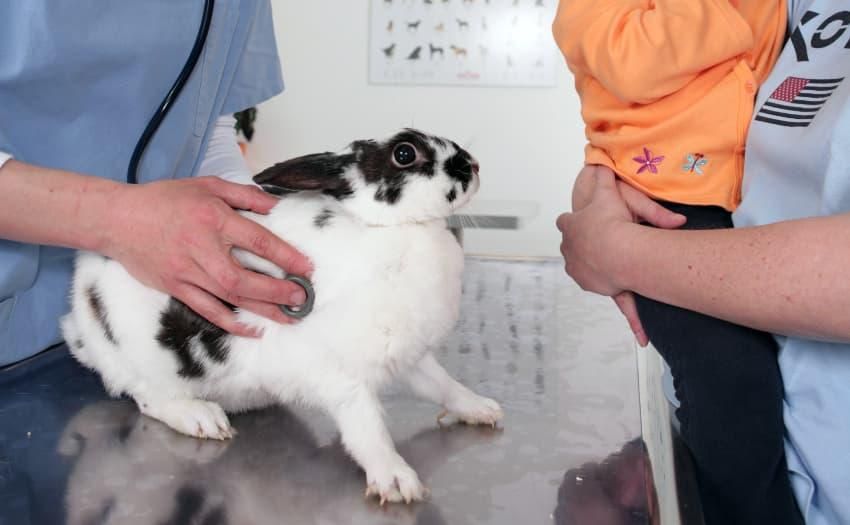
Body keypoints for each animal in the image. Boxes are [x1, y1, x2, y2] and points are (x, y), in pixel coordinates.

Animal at [61, 128, 504, 505]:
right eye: (405, 153)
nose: (475, 165)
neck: (393, 230)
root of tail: (78, 313)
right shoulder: (340, 376)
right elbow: (367, 427)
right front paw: (396, 481)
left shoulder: (411, 357)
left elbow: (443, 385)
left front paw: (482, 409)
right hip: (142, 361)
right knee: (147, 397)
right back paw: (201, 418)